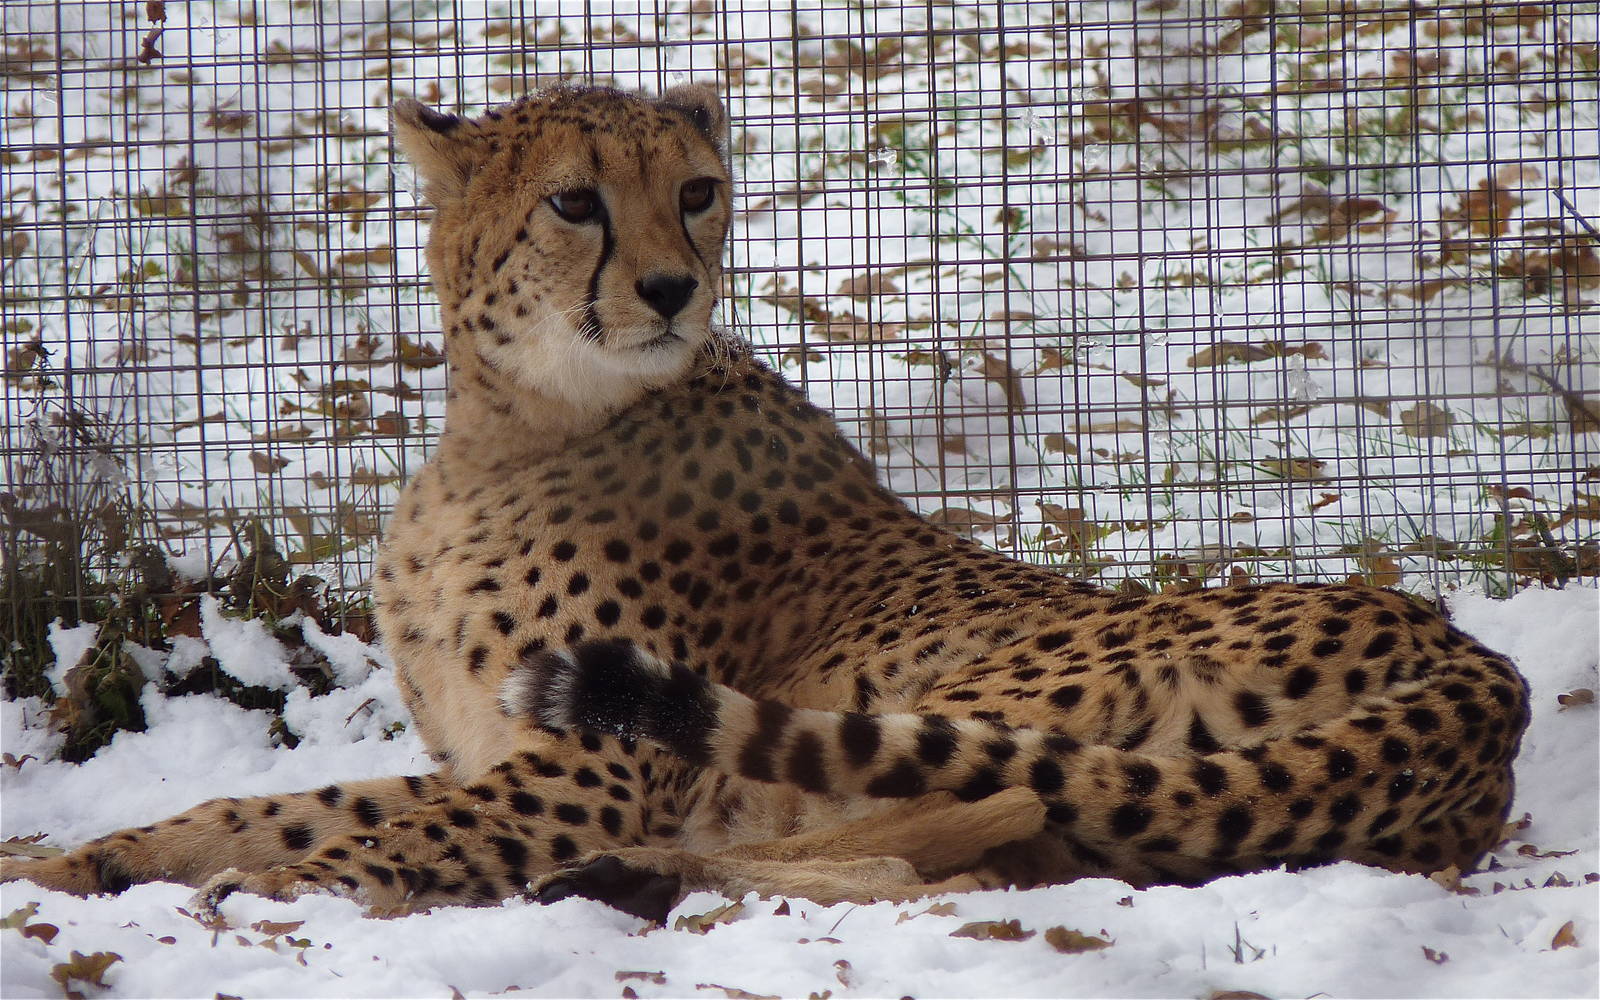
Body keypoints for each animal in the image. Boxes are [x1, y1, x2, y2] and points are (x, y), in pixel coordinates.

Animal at [1, 84, 1530, 925]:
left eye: (696, 190)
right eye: (574, 202)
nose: (674, 286)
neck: (513, 426)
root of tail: (1471, 657)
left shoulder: (593, 755)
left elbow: (374, 834)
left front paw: (291, 889)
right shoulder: (492, 748)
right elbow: (279, 806)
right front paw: (86, 860)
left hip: (965, 696)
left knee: (977, 834)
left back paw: (611, 881)